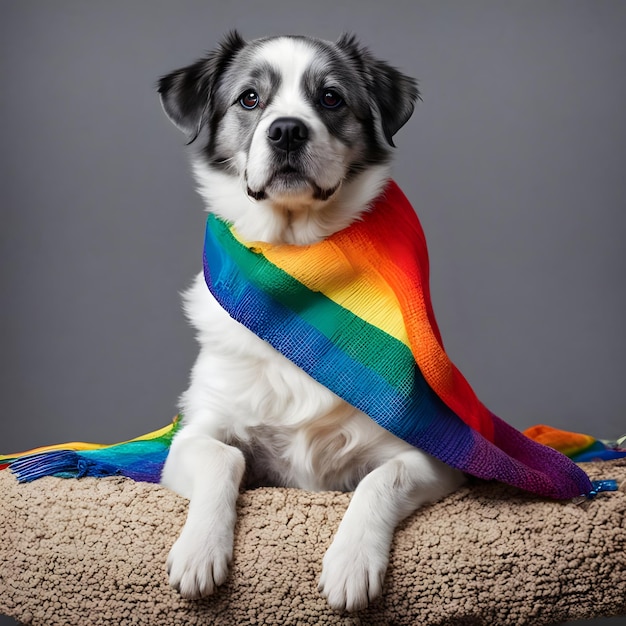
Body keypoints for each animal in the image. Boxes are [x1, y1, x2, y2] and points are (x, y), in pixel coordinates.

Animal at [157, 33, 464, 608]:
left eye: (330, 98)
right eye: (249, 98)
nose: (287, 130)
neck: (299, 278)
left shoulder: (428, 456)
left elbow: (377, 481)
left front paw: (352, 563)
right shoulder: (194, 435)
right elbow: (223, 460)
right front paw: (200, 551)